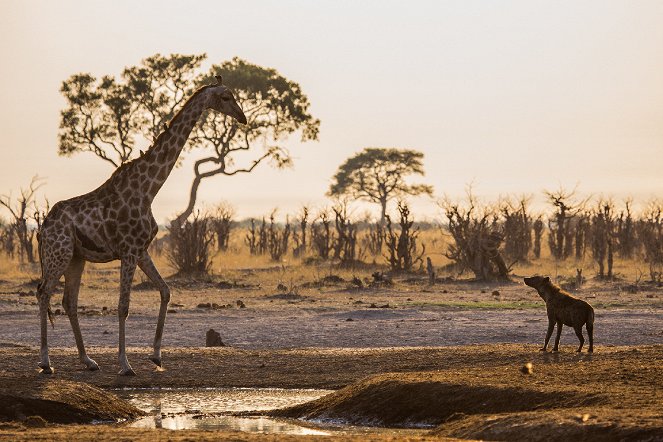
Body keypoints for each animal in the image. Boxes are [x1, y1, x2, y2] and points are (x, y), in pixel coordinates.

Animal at [35, 76, 246, 372]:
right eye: (226, 97)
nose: (243, 117)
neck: (148, 189)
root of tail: (42, 228)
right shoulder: (129, 251)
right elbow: (123, 306)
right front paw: (125, 365)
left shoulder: (142, 250)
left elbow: (166, 291)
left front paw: (156, 356)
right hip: (59, 253)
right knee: (43, 293)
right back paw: (46, 362)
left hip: (76, 257)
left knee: (68, 301)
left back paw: (88, 360)